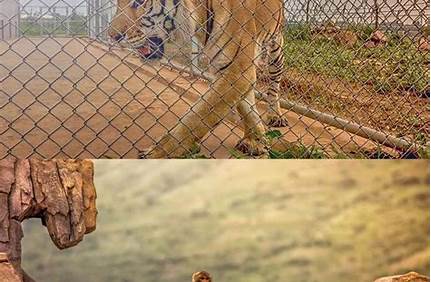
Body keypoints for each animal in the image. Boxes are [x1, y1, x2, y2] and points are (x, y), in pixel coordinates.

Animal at [109, 0, 290, 158]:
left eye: (139, 2)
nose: (112, 36)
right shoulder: (230, 69)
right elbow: (247, 107)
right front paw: (255, 141)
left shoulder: (238, 70)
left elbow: (197, 117)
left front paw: (156, 154)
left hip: (276, 48)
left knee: (274, 85)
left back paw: (276, 116)